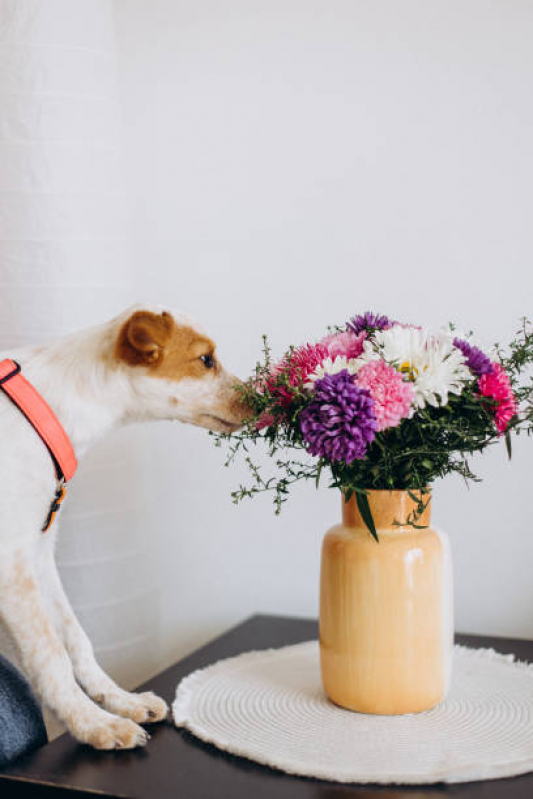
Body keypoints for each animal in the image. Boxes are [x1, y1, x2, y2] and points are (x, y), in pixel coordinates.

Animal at [0, 306, 247, 752]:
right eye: (206, 359)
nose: (260, 400)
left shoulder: (38, 554)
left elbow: (76, 639)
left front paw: (120, 702)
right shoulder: (11, 564)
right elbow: (51, 655)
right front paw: (93, 724)